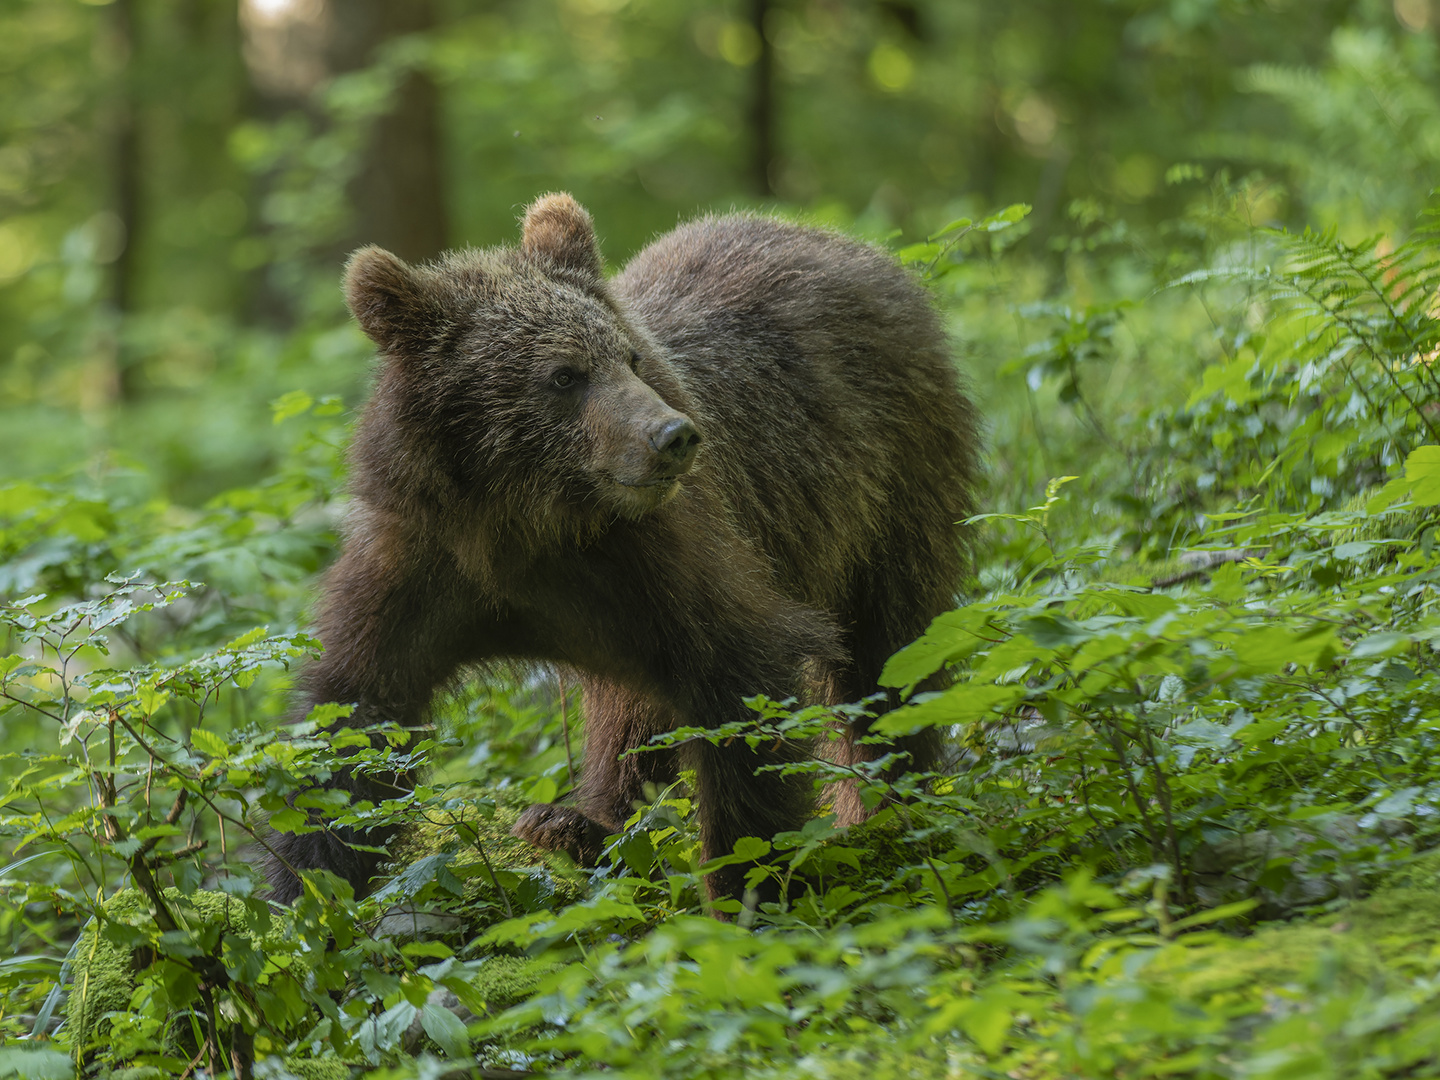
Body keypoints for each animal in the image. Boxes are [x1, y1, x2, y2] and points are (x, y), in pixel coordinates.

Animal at [262, 192, 979, 904]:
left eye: (631, 358)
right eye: (563, 374)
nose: (673, 436)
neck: (524, 521)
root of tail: (845, 242)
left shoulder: (665, 557)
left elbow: (742, 687)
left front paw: (746, 884)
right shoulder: (420, 567)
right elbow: (353, 724)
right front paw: (302, 886)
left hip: (891, 484)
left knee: (891, 656)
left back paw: (885, 810)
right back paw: (577, 825)